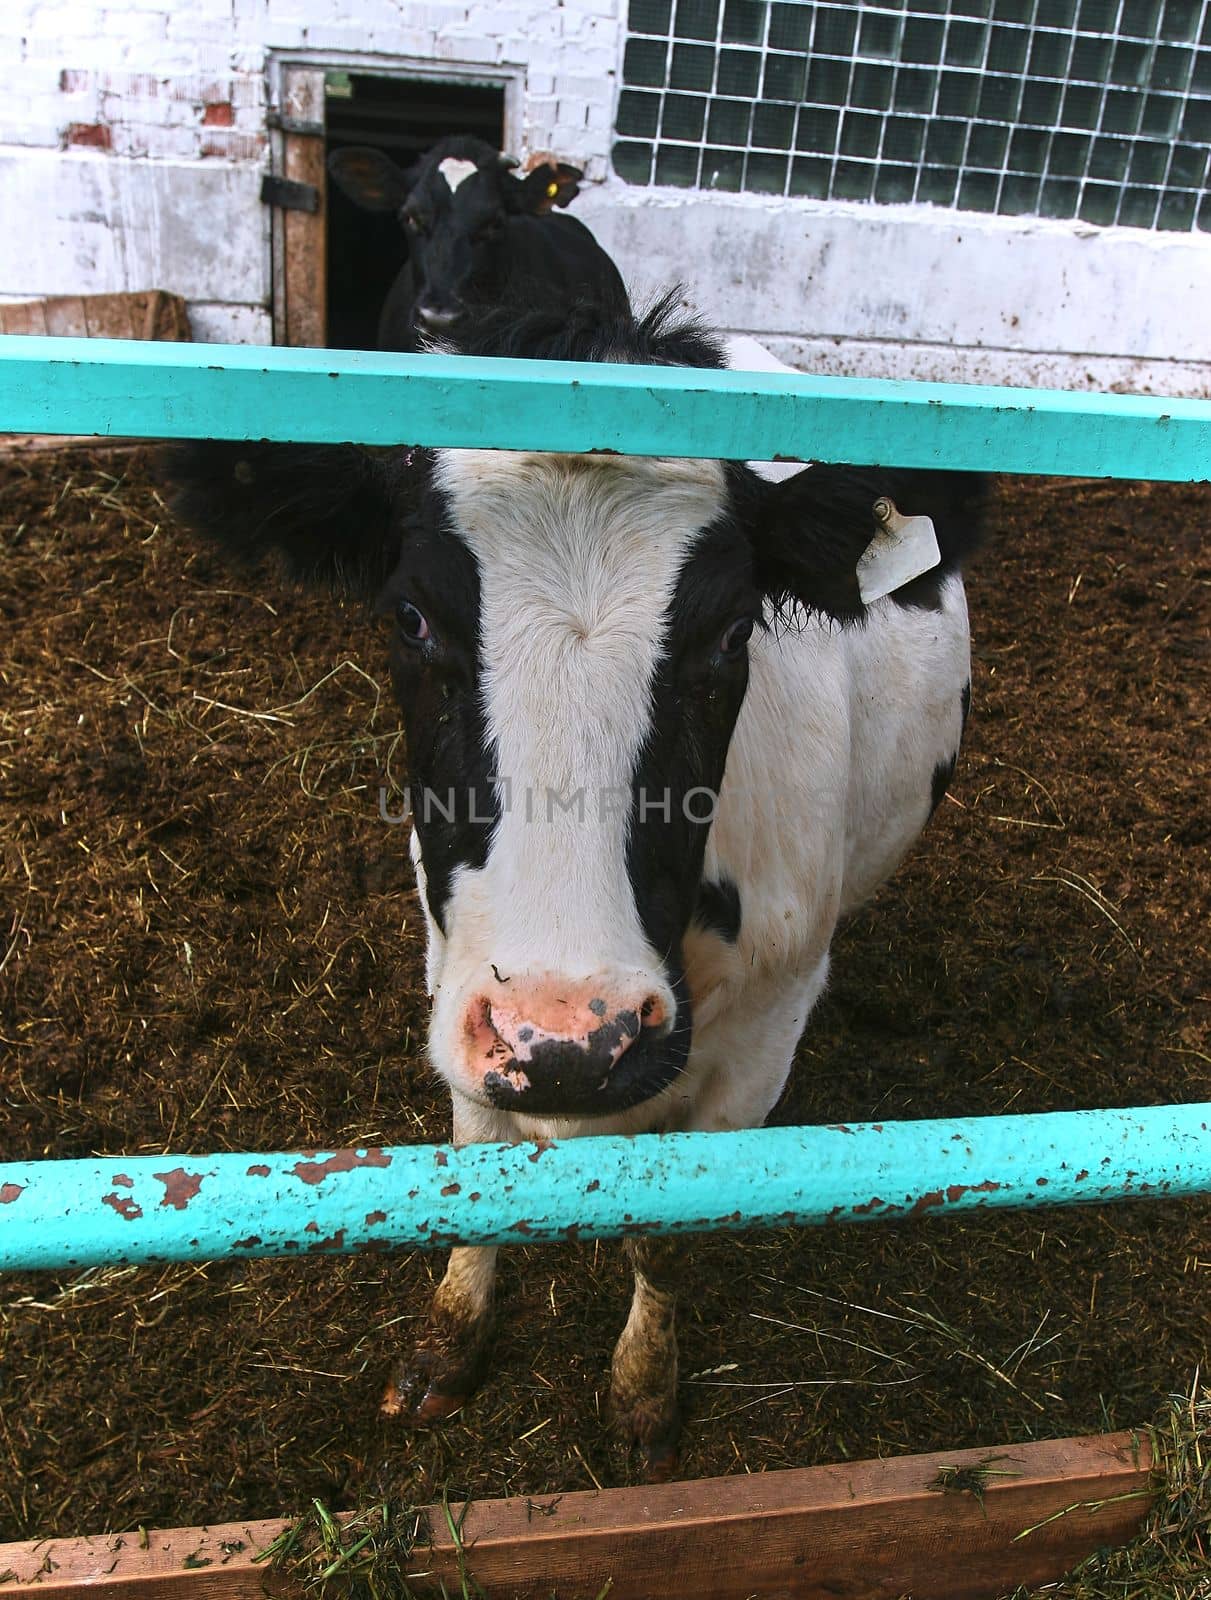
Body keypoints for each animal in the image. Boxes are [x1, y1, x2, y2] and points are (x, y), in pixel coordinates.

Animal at [167, 291, 985, 1472]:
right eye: (411, 616)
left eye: (730, 631)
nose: (569, 1037)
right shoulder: (460, 985)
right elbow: (474, 1162)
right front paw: (448, 1341)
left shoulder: (761, 1039)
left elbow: (668, 1234)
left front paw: (643, 1390)